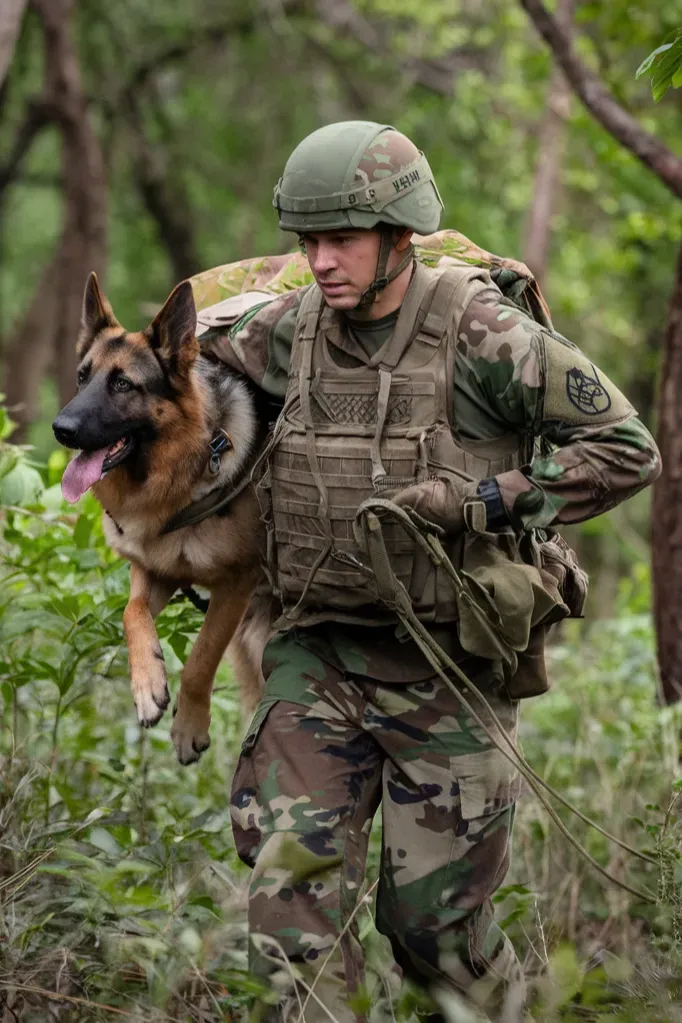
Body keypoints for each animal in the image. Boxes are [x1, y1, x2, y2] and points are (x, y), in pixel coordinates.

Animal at [52, 276, 269, 765]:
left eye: (123, 384)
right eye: (82, 376)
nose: (61, 429)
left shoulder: (236, 586)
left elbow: (201, 658)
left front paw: (188, 726)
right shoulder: (156, 570)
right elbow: (130, 613)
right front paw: (147, 685)